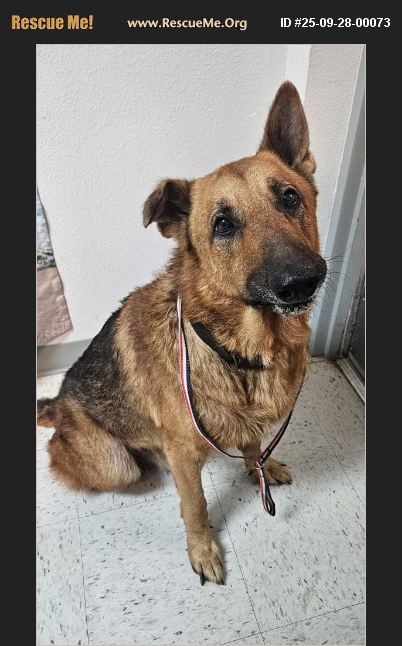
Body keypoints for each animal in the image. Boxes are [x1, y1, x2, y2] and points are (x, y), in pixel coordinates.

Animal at [37, 81, 327, 585]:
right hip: (115, 465)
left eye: (290, 198)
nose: (302, 282)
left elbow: (252, 445)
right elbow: (195, 505)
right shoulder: (186, 460)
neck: (237, 348)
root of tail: (57, 404)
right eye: (223, 224)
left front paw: (260, 468)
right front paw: (203, 548)